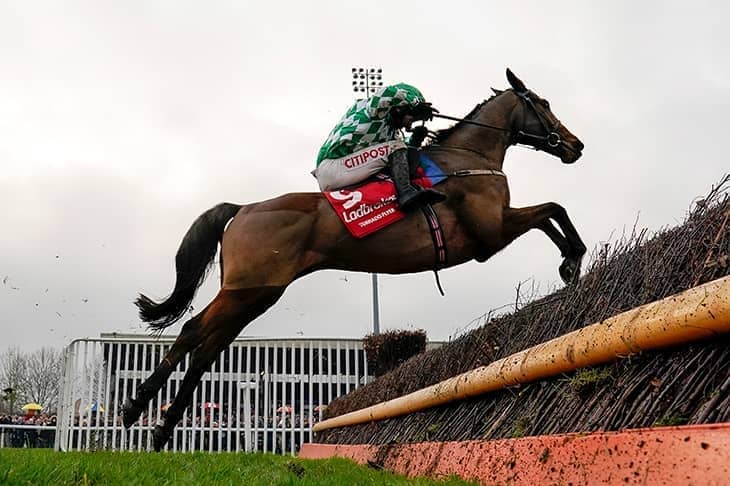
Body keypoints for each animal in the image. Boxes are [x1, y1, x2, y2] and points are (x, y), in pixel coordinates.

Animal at [122, 68, 587, 451]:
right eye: (543, 103)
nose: (575, 145)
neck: (468, 161)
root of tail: (243, 207)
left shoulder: (496, 227)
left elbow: (551, 215)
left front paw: (570, 262)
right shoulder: (489, 235)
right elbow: (553, 209)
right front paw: (573, 259)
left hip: (257, 294)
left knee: (208, 348)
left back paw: (162, 428)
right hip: (247, 289)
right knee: (192, 331)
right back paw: (135, 409)